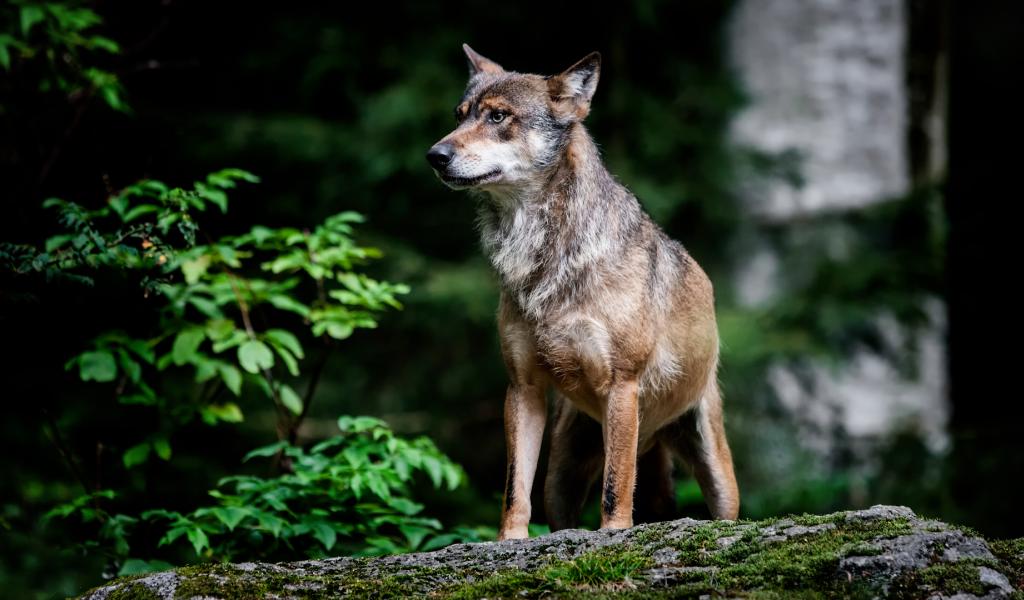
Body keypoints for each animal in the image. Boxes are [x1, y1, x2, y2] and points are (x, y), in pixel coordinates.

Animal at [426, 45, 740, 540]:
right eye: (460, 116)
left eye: (498, 116)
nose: (434, 155)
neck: (542, 255)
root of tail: (653, 436)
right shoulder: (522, 389)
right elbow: (514, 487)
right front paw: (509, 542)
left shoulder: (623, 384)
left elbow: (616, 484)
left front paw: (614, 533)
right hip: (561, 475)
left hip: (717, 475)